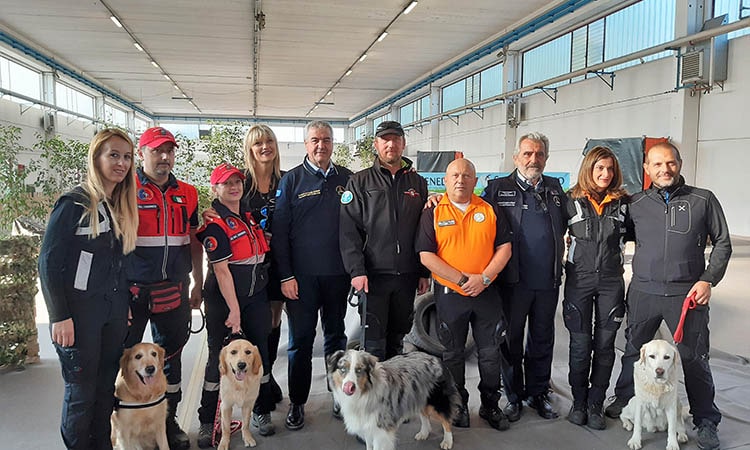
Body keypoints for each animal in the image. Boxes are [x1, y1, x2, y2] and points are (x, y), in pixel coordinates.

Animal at [328, 348, 464, 450]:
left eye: (359, 370)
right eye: (342, 369)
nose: (349, 386)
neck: (363, 393)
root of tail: (436, 358)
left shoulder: (381, 428)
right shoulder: (368, 425)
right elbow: (369, 445)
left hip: (437, 401)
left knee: (446, 420)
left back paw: (447, 441)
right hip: (419, 397)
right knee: (425, 416)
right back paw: (424, 433)